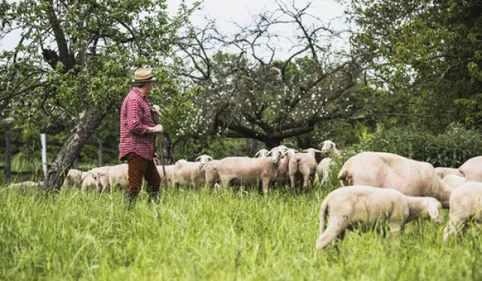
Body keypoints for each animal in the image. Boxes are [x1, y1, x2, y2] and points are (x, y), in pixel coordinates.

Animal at [316, 186, 444, 249]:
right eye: (439, 208)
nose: (442, 223)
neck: (409, 204)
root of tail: (327, 199)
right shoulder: (395, 224)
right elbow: (396, 244)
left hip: (341, 225)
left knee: (335, 243)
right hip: (337, 220)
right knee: (321, 241)